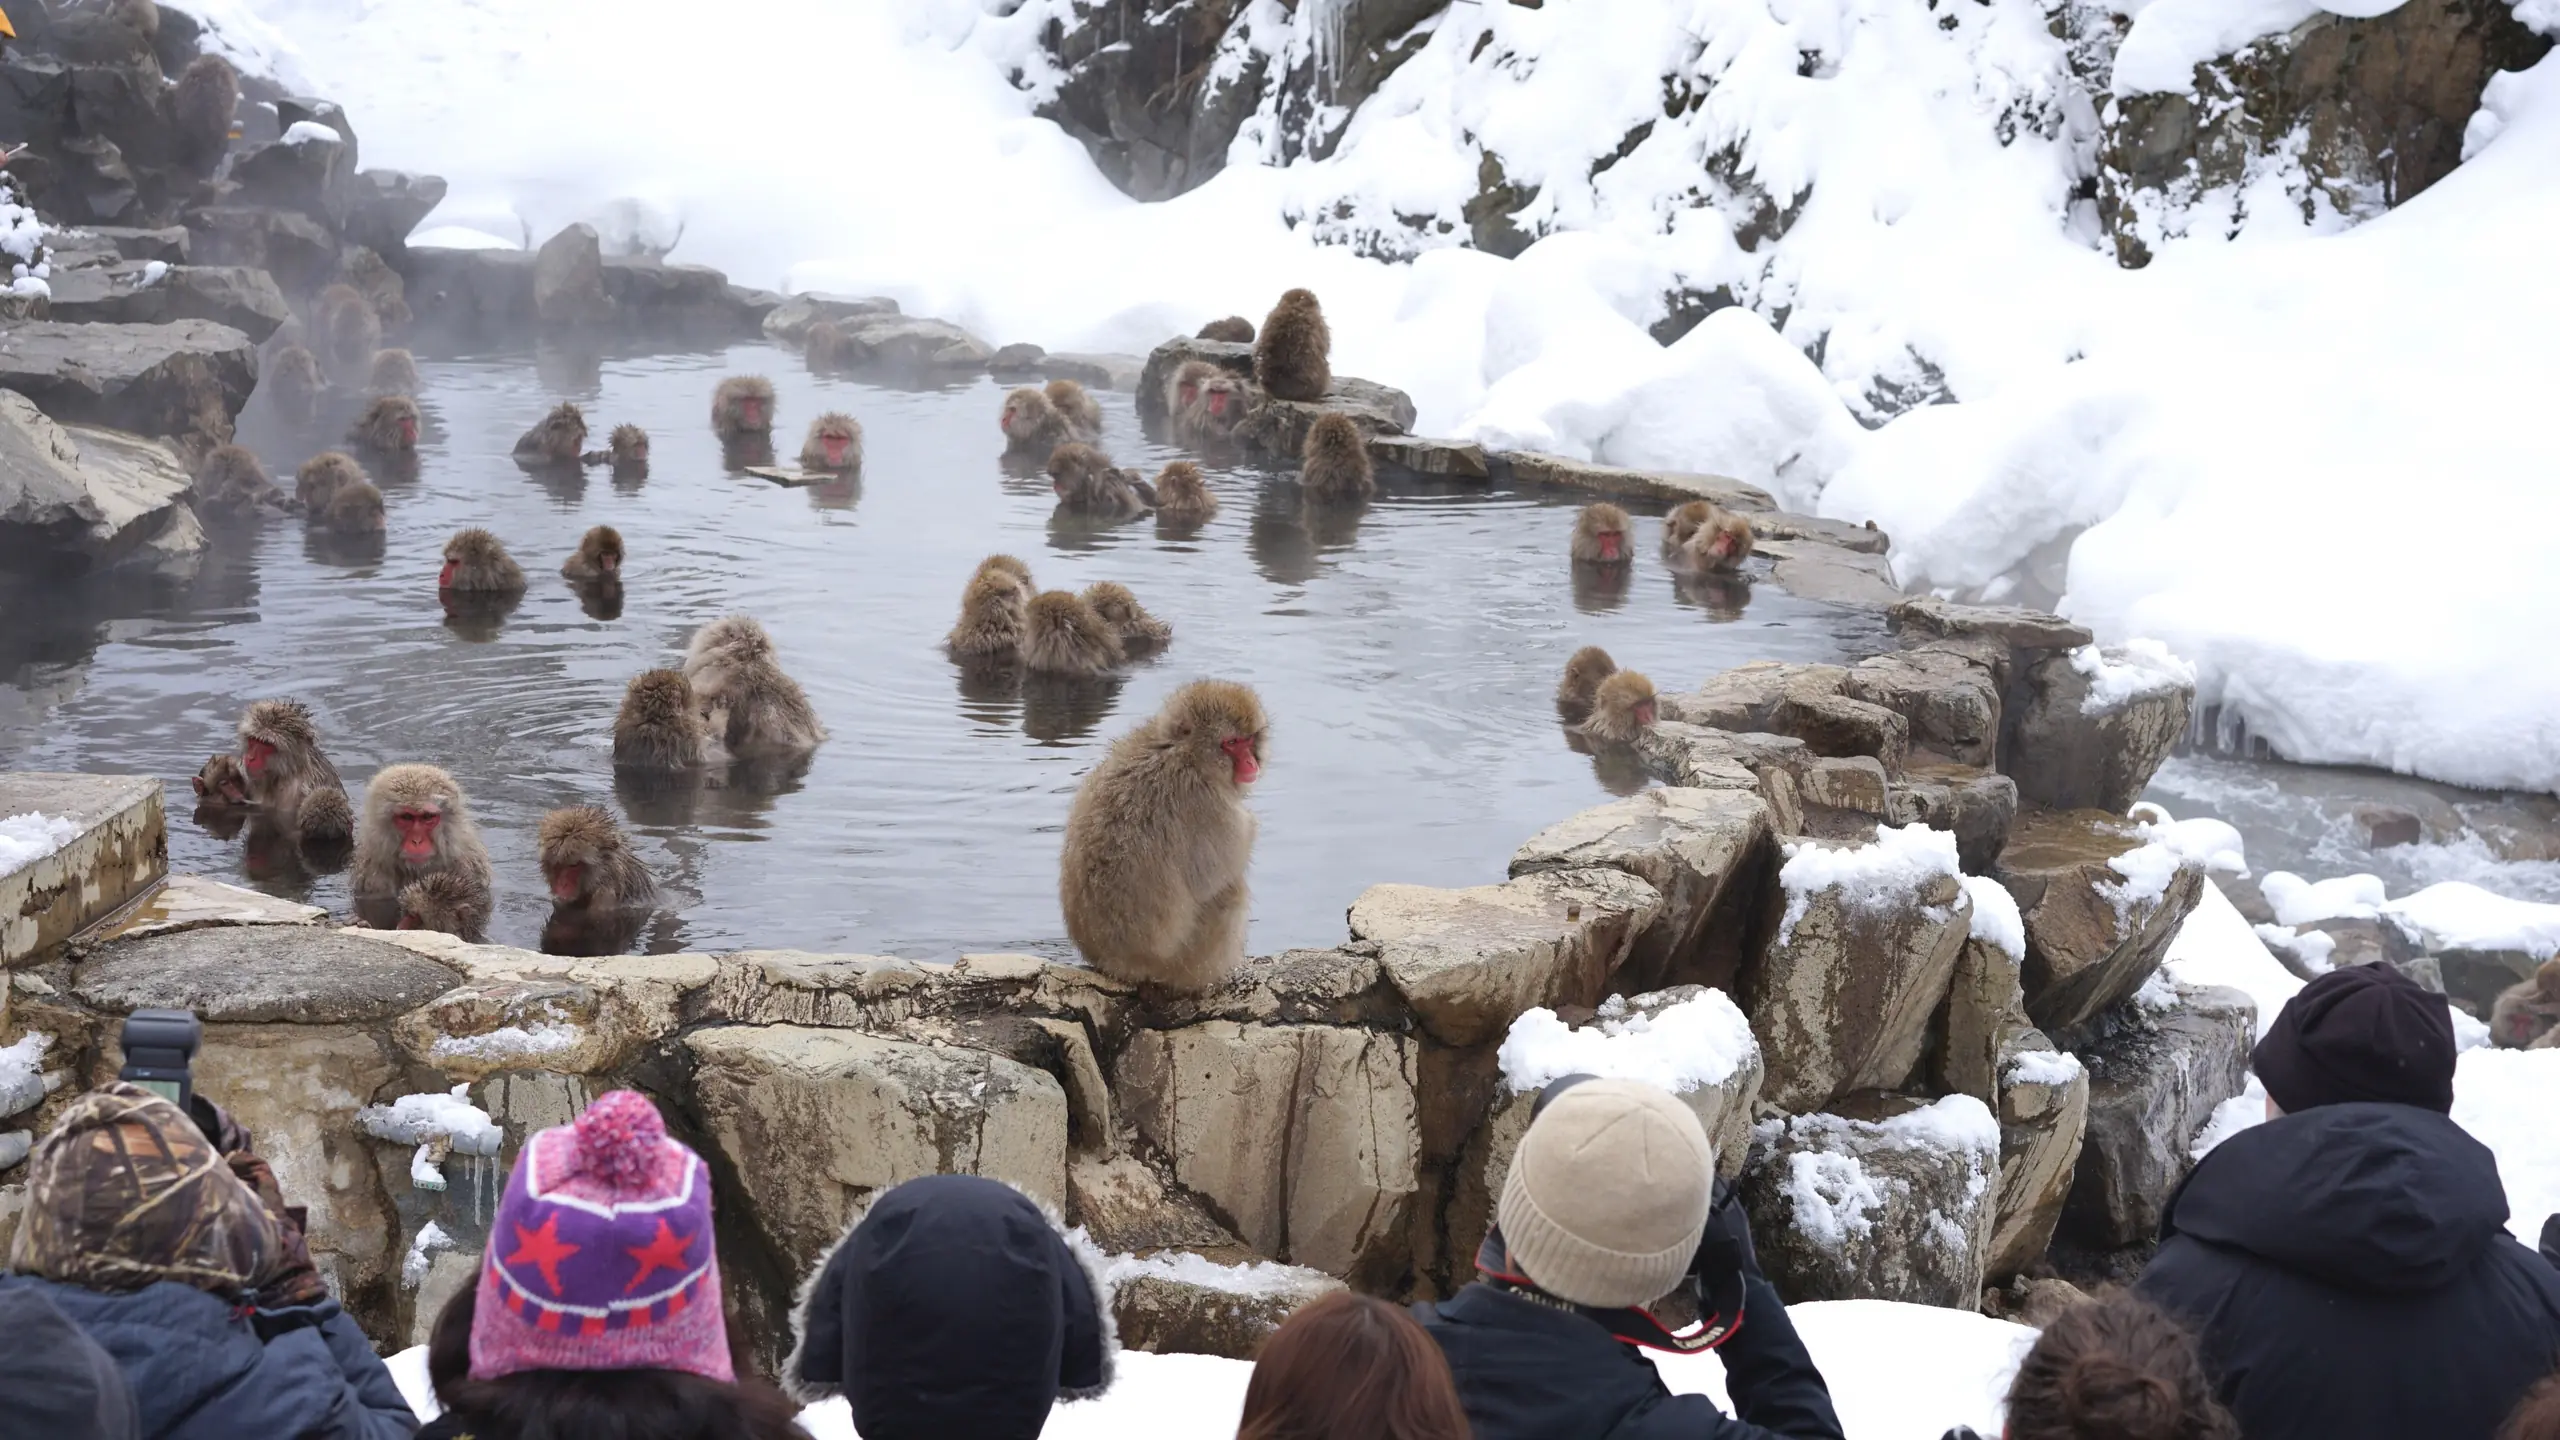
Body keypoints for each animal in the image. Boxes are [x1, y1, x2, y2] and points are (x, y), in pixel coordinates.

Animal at [1059, 679, 1266, 991]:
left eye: (1249, 740)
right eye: (1231, 743)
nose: (1251, 764)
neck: (1184, 753)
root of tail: (1113, 965)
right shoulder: (1206, 804)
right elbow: (1209, 880)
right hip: (1180, 962)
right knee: (1231, 893)